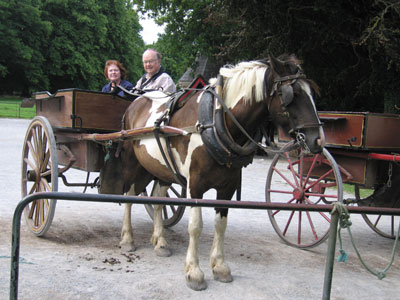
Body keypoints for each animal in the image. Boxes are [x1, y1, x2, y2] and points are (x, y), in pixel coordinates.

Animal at [99, 54, 324, 290]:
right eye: (293, 94)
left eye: (311, 92)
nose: (317, 140)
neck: (214, 123)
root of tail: (136, 102)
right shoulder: (194, 185)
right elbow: (195, 226)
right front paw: (194, 272)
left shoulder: (228, 187)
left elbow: (220, 224)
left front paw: (220, 266)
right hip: (132, 163)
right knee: (129, 195)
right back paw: (127, 239)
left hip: (162, 169)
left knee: (158, 200)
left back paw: (160, 241)